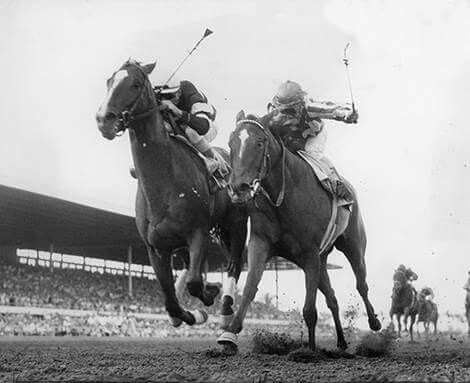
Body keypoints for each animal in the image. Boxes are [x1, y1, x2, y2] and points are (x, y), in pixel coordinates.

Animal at [96, 60, 250, 328]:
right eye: (109, 82)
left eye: (135, 84)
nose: (104, 119)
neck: (164, 184)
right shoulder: (157, 247)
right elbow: (170, 300)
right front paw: (188, 314)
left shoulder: (198, 233)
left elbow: (195, 283)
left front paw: (208, 298)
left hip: (237, 223)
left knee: (234, 265)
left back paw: (226, 309)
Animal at [218, 110, 382, 352]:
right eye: (231, 143)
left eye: (259, 142)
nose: (238, 187)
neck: (283, 196)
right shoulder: (261, 243)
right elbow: (249, 287)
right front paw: (230, 333)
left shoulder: (309, 253)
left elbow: (309, 309)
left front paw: (309, 350)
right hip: (322, 261)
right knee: (332, 298)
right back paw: (341, 341)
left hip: (353, 245)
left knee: (361, 284)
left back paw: (374, 322)